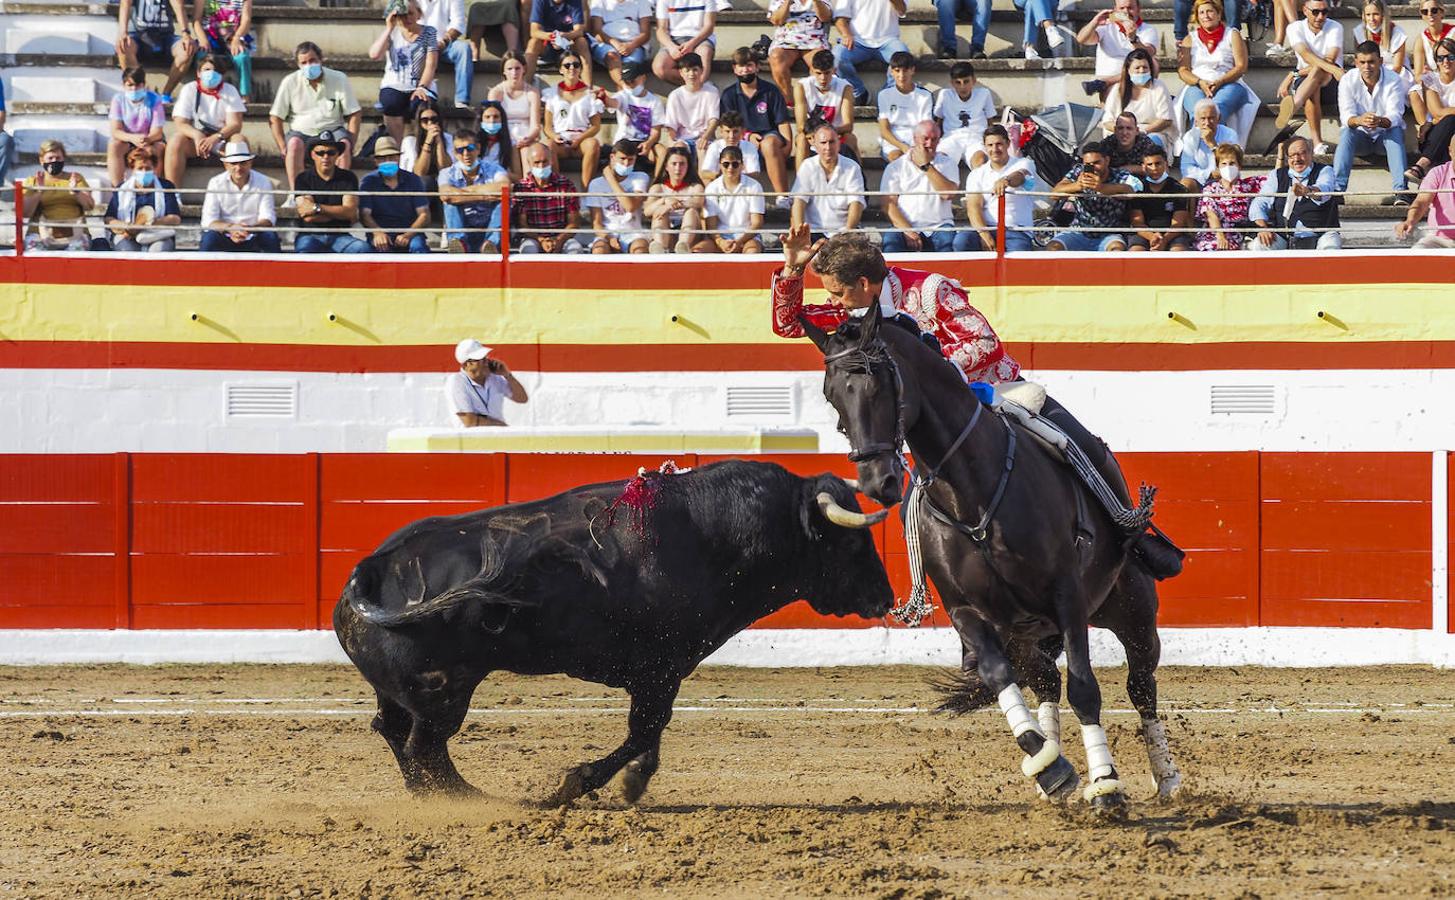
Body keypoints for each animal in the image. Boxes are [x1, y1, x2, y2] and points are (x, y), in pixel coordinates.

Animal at [333, 456, 890, 802]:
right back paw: (470, 799)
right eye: (850, 543)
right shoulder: (660, 667)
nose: (885, 597)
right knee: (423, 745)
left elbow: (651, 731)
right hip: (444, 691)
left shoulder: (662, 671)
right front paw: (578, 783)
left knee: (395, 733)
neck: (717, 535)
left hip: (400, 690)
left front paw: (633, 783)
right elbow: (646, 727)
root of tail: (370, 567)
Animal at [808, 306, 1181, 814]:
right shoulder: (966, 611)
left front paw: (1105, 783)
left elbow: (1085, 687)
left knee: (1141, 684)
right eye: (831, 394)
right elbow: (998, 674)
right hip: (1027, 633)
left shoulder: (1067, 595)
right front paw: (1050, 769)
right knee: (1045, 681)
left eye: (878, 380)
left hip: (1131, 610)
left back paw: (1165, 777)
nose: (876, 481)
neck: (972, 493)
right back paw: (1052, 762)